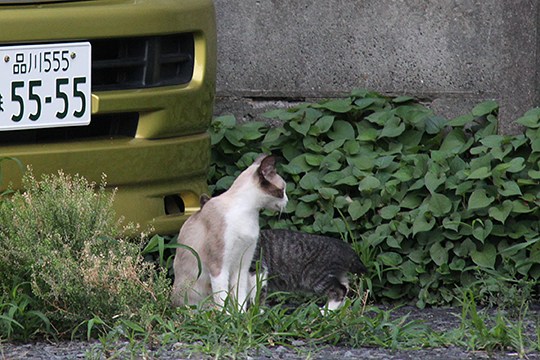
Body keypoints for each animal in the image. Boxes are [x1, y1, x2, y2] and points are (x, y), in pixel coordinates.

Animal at [172, 153, 288, 310]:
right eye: (282, 190)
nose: (287, 201)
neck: (248, 212)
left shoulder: (242, 265)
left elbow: (239, 298)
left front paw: (240, 315)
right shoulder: (219, 267)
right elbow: (222, 300)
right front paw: (226, 317)